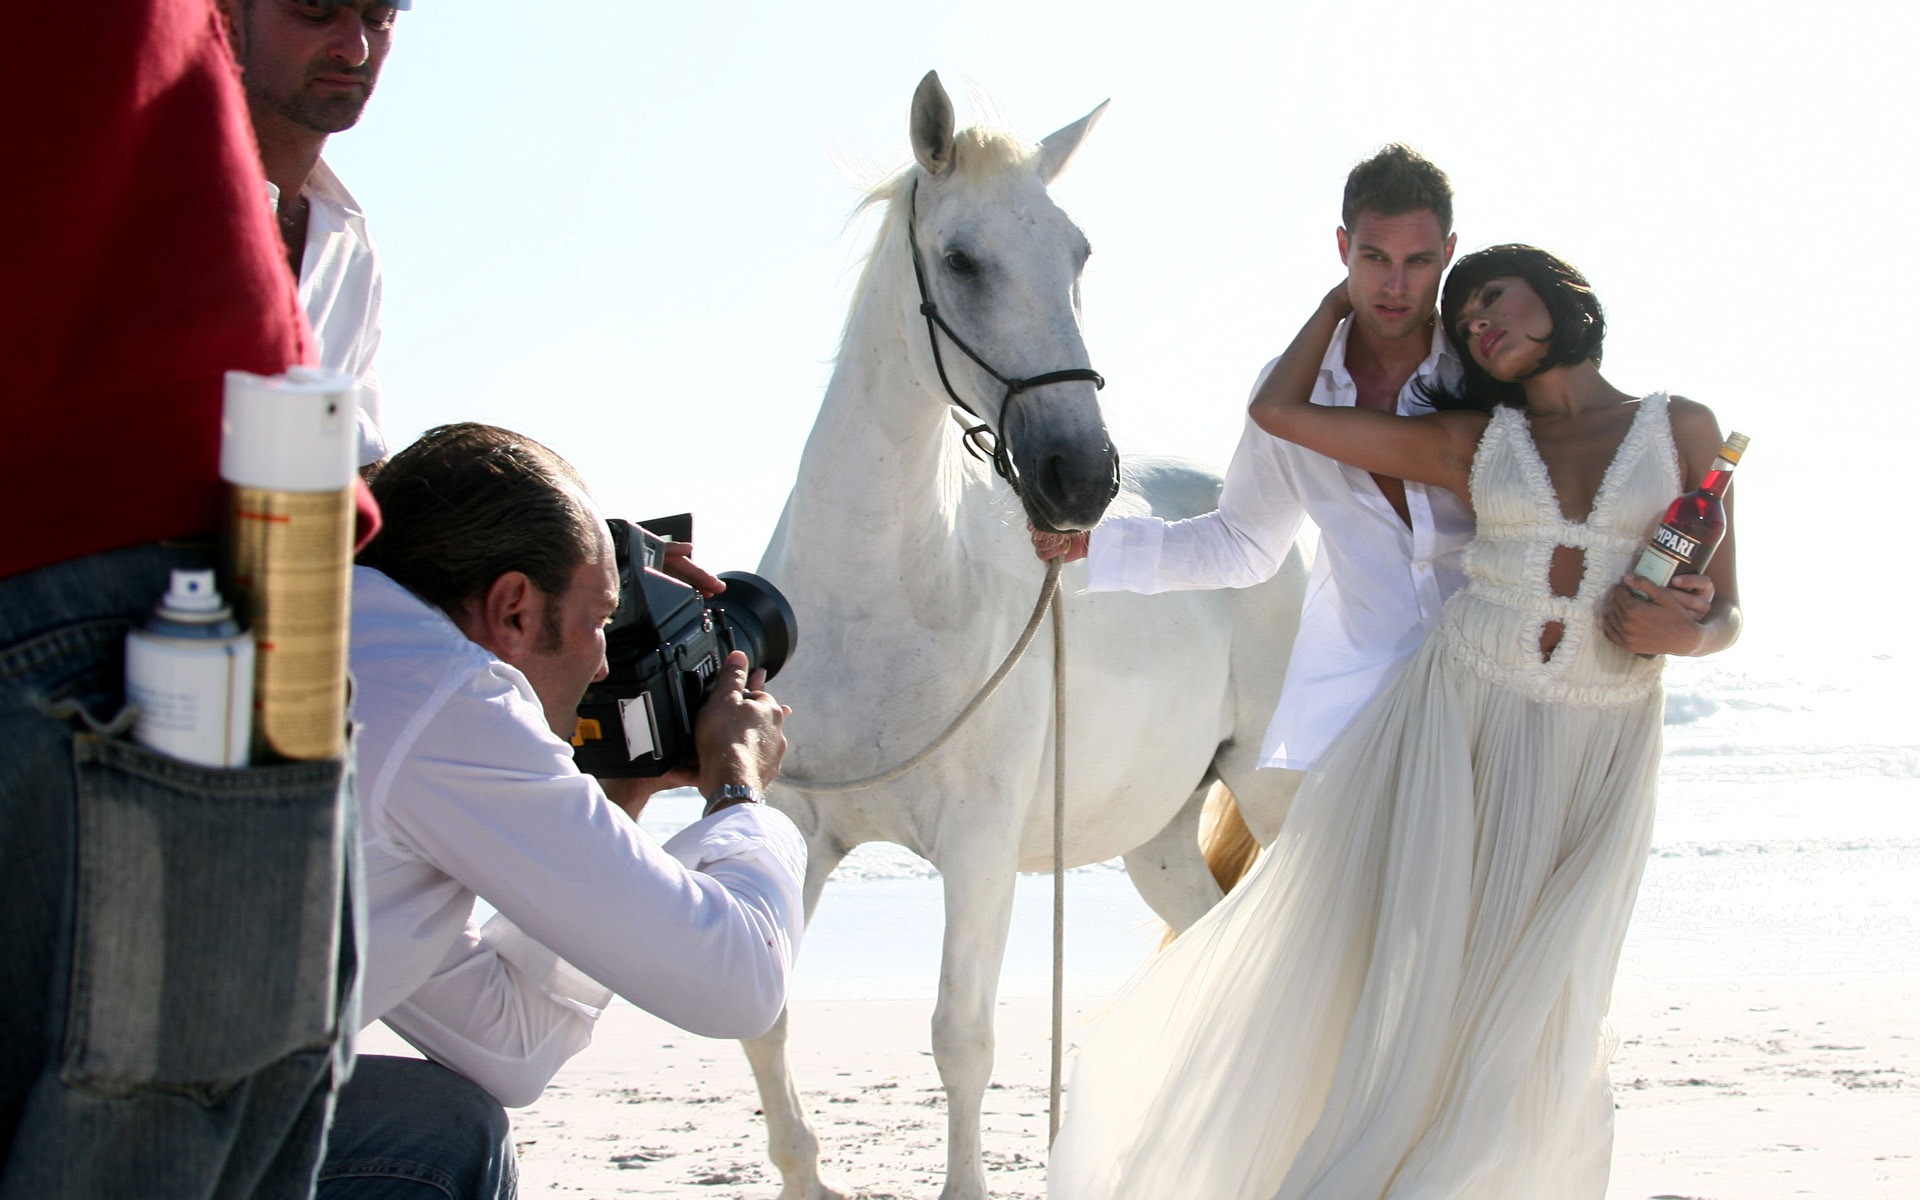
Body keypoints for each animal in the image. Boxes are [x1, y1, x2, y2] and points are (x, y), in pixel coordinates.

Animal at [744, 74, 1305, 1198]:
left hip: (1275, 791)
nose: (1080, 476)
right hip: (1157, 835)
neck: (888, 595)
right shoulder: (800, 828)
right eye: (961, 259)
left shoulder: (978, 850)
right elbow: (768, 1017)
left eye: (1078, 253)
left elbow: (961, 1039)